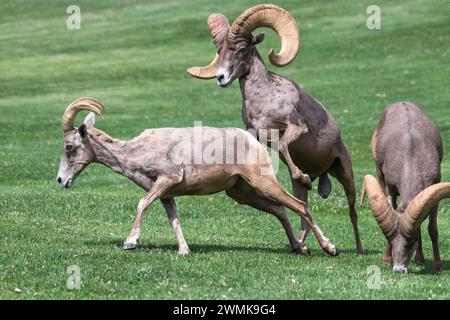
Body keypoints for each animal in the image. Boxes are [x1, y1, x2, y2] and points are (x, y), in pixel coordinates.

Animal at [56, 96, 338, 256]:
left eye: (69, 147)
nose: (61, 180)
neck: (137, 151)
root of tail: (254, 142)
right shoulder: (165, 194)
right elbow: (174, 220)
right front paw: (184, 251)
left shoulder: (166, 180)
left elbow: (141, 204)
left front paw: (130, 242)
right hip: (242, 193)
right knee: (280, 210)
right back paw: (299, 248)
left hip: (262, 183)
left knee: (299, 205)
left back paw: (329, 248)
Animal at [188, 3, 364, 254]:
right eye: (219, 50)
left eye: (241, 49)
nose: (221, 77)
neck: (263, 99)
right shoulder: (262, 136)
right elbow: (282, 151)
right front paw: (304, 177)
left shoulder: (296, 127)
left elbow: (283, 144)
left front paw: (303, 176)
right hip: (304, 189)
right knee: (303, 210)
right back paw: (303, 244)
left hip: (346, 174)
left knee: (352, 211)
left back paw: (356, 249)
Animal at [362, 102, 450, 272]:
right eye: (391, 240)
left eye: (412, 240)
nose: (398, 269)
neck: (411, 153)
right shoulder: (390, 188)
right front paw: (387, 261)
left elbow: (432, 229)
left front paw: (437, 265)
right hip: (379, 175)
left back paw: (420, 259)